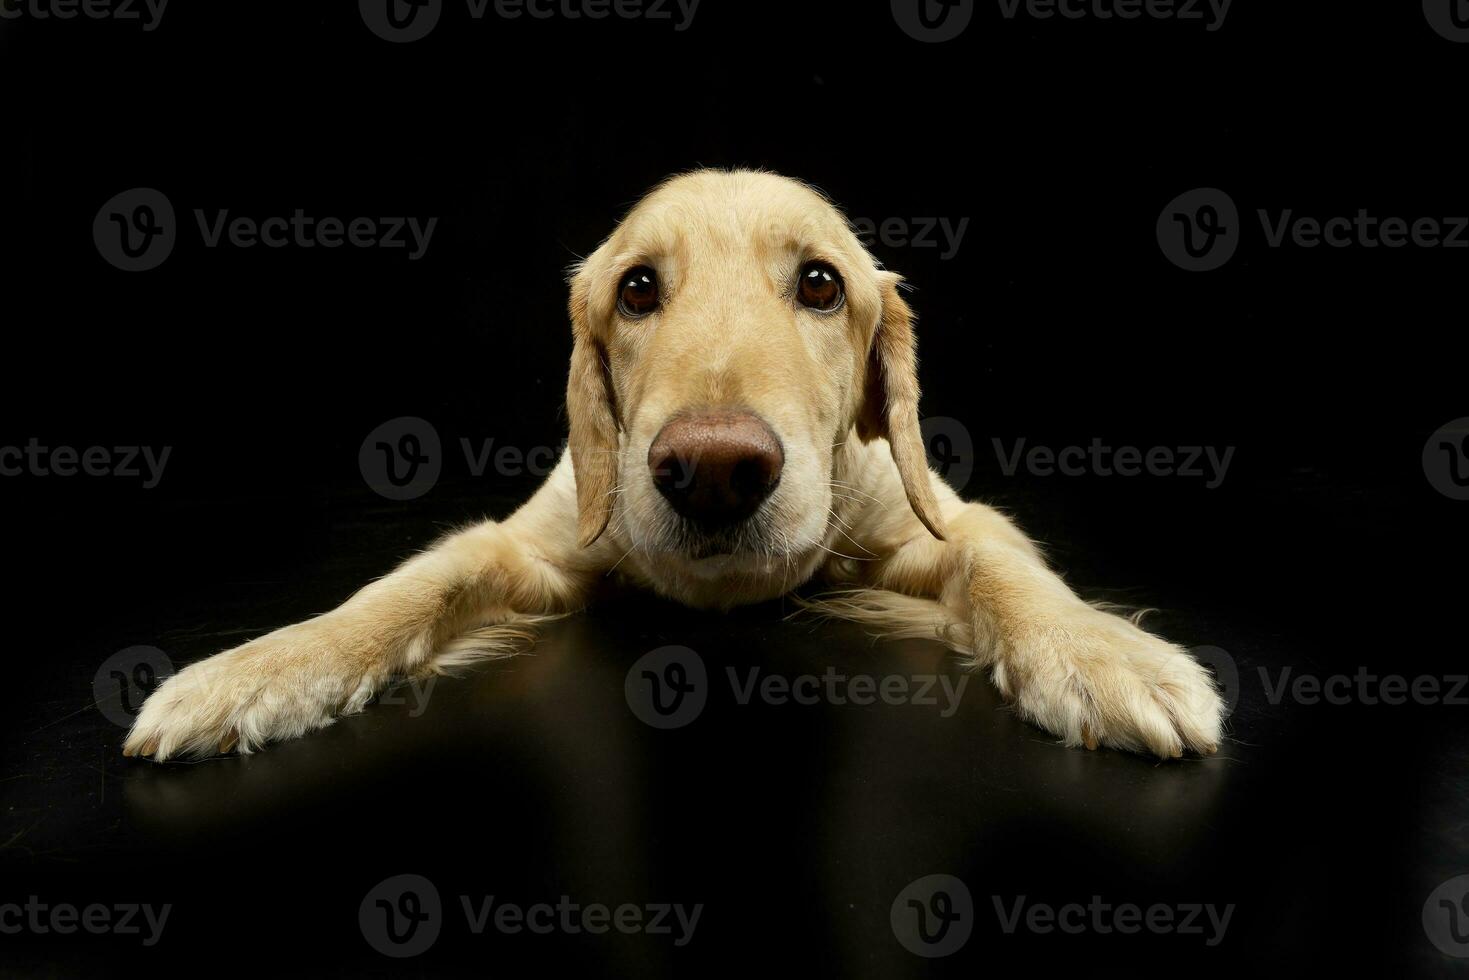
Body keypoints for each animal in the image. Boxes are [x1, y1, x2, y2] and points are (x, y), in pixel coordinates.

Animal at [123, 172, 1228, 764]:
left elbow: (999, 564)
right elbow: (409, 586)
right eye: (637, 288)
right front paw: (260, 669)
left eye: (820, 283)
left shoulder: (936, 522)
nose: (714, 470)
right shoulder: (534, 546)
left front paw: (1097, 653)